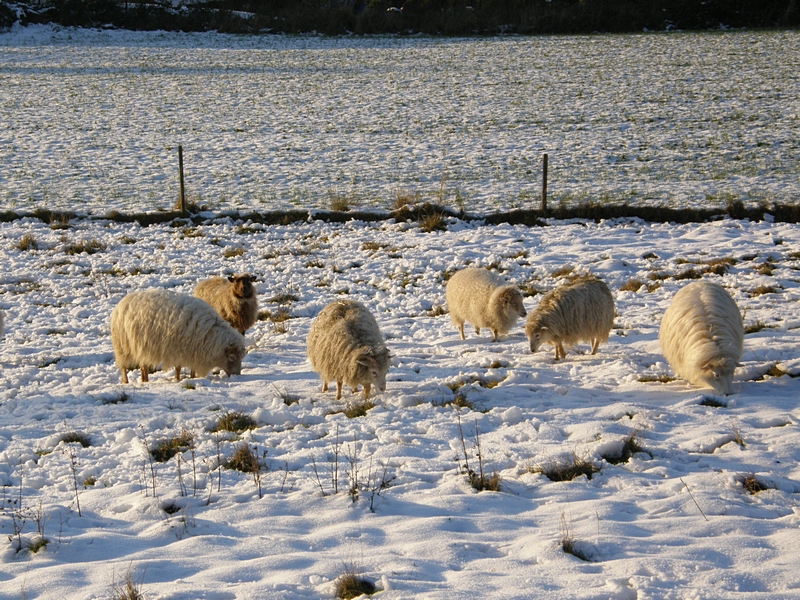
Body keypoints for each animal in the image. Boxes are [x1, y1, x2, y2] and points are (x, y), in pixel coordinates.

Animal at [111, 290, 245, 384]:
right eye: (232, 357)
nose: (237, 376)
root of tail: (121, 303)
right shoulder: (178, 349)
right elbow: (178, 368)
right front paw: (178, 379)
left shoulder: (194, 349)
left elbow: (190, 368)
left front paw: (192, 377)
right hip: (122, 345)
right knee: (123, 366)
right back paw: (126, 382)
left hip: (141, 346)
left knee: (143, 366)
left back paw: (145, 380)